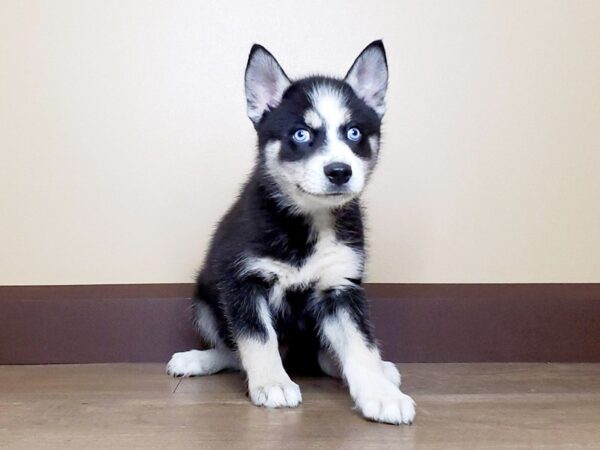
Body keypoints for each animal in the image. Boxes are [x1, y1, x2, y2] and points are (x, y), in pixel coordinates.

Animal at [166, 39, 414, 426]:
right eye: (301, 134)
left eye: (354, 132)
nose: (339, 171)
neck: (308, 223)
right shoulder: (242, 281)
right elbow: (257, 338)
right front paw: (271, 383)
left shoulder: (341, 288)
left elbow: (360, 344)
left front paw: (380, 393)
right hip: (204, 299)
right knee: (233, 351)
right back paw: (199, 359)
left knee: (325, 355)